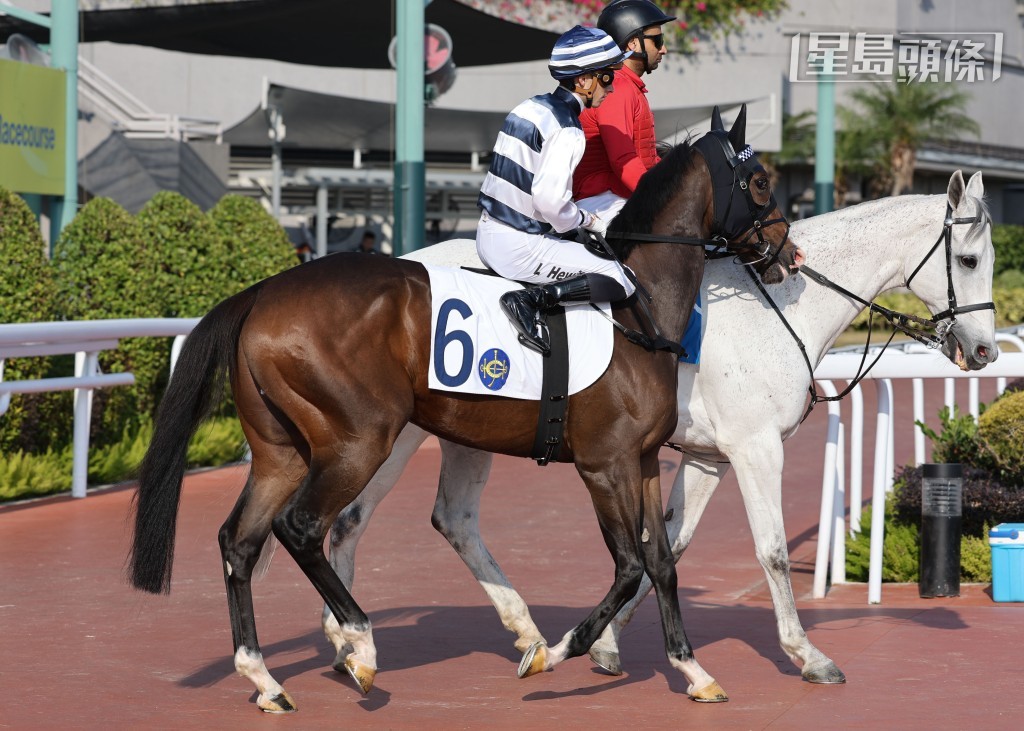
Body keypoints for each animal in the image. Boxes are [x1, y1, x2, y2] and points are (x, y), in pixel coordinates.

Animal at [127, 109, 804, 713]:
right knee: (302, 527)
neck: (637, 307)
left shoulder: (640, 462)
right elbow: (629, 565)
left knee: (241, 541)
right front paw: (554, 652)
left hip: (282, 451)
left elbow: (660, 562)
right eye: (760, 181)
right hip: (359, 441)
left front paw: (694, 670)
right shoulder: (605, 464)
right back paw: (360, 645)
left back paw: (265, 679)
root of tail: (264, 291)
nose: (786, 252)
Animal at [321, 169, 997, 686]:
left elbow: (667, 545)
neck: (780, 306)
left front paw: (608, 644)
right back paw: (349, 637)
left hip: (467, 431)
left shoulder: (705, 458)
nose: (986, 350)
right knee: (350, 518)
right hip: (399, 431)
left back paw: (518, 629)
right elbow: (772, 551)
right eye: (968, 259)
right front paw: (807, 654)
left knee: (453, 519)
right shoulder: (754, 451)